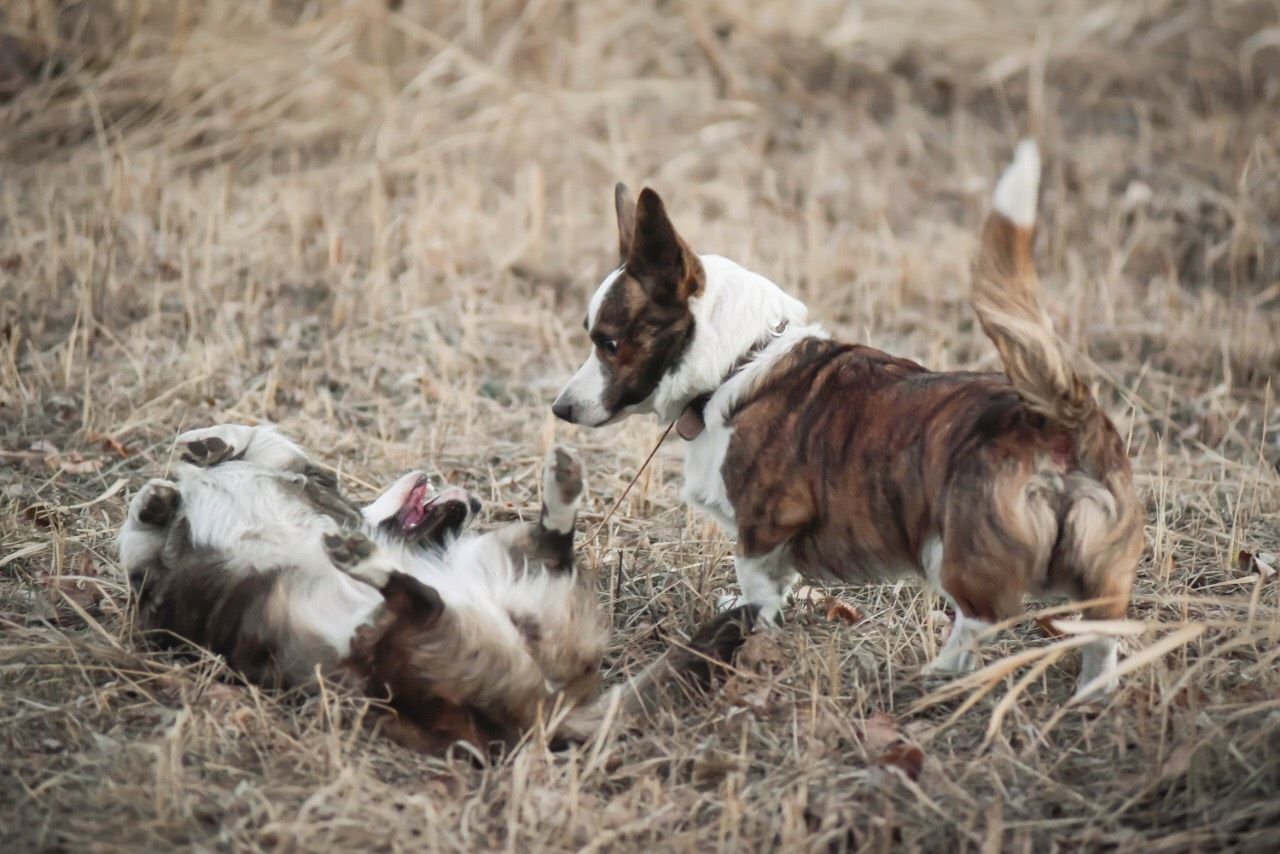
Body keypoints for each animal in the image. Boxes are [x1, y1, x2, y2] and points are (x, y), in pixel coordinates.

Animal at [550, 142, 1141, 701]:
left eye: (608, 343)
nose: (560, 409)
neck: (738, 360)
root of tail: (1059, 414)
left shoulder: (763, 527)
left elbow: (758, 588)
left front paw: (748, 641)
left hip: (961, 554)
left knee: (979, 621)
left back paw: (938, 677)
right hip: (1101, 570)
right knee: (1101, 634)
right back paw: (1090, 697)